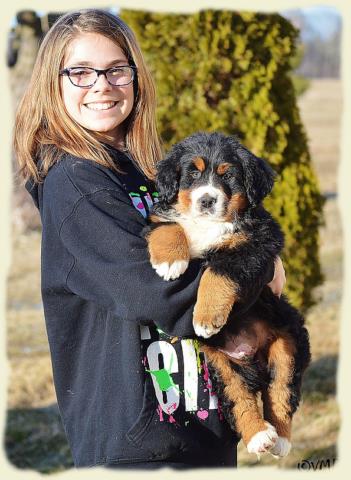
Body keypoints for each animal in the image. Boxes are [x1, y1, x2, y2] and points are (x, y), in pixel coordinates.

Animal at [144, 130, 312, 458]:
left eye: (228, 175)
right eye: (192, 173)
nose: (207, 200)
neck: (209, 225)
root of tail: (252, 359)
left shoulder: (255, 244)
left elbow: (217, 272)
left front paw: (206, 317)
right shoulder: (161, 219)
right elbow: (170, 226)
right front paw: (169, 262)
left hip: (288, 344)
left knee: (281, 392)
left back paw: (280, 440)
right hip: (221, 367)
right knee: (239, 399)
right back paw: (258, 435)